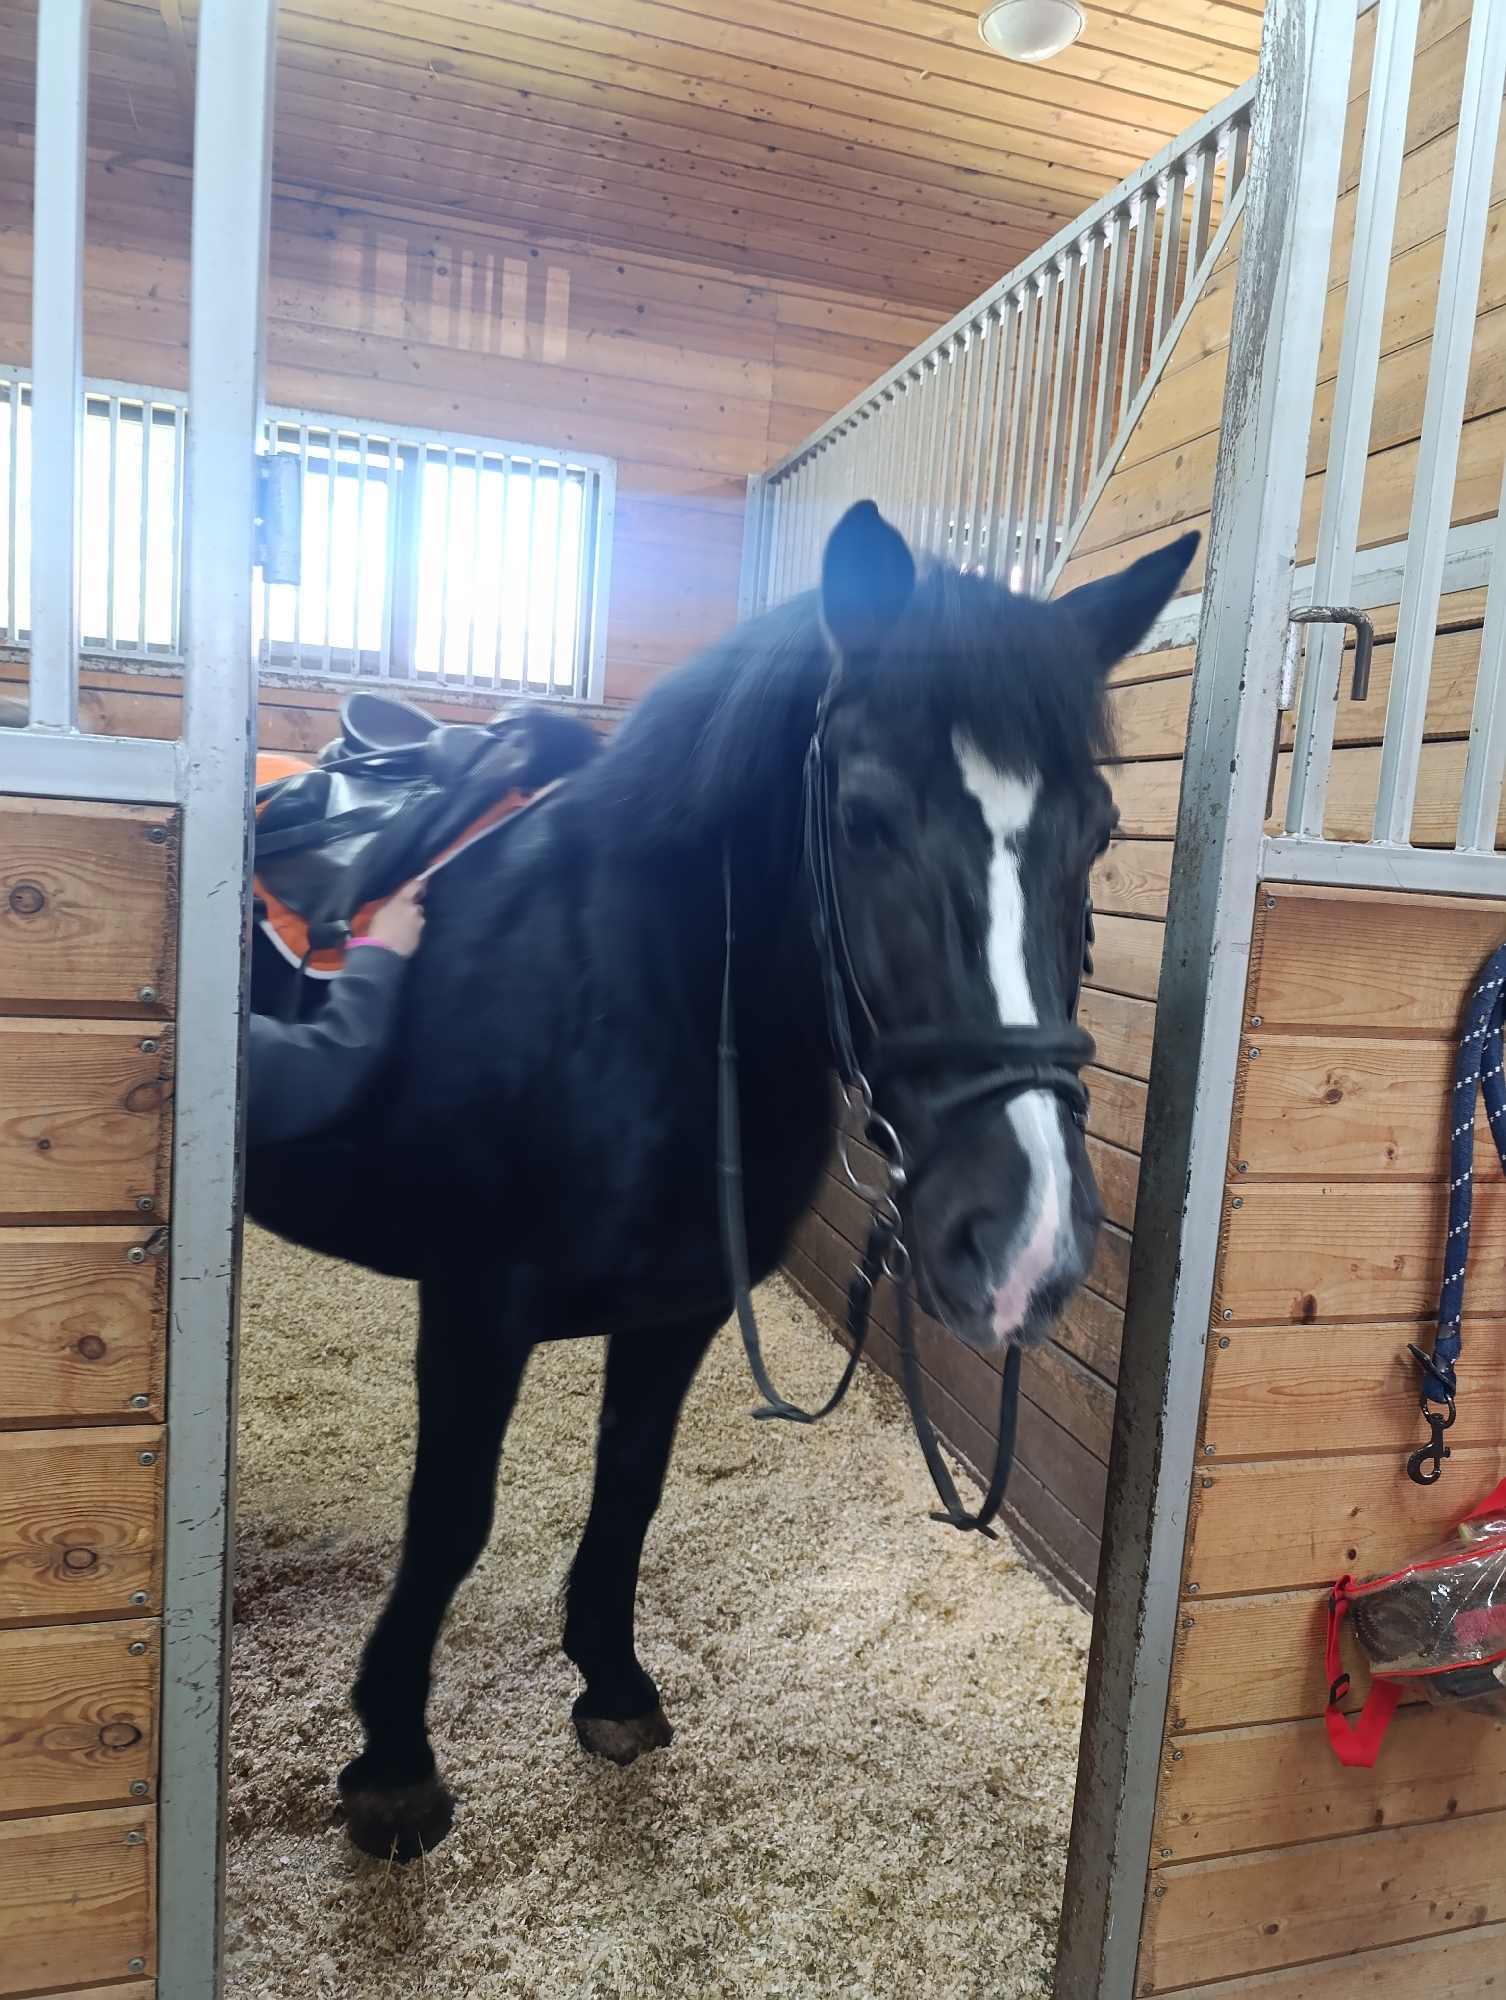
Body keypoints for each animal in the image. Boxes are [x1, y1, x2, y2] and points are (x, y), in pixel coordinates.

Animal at [244, 500, 1197, 1861]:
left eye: (1102, 830)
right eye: (863, 817)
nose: (1030, 1244)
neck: (636, 987)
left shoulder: (681, 1307)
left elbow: (630, 1485)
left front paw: (612, 1683)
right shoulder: (474, 1306)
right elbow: (452, 1516)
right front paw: (393, 1758)